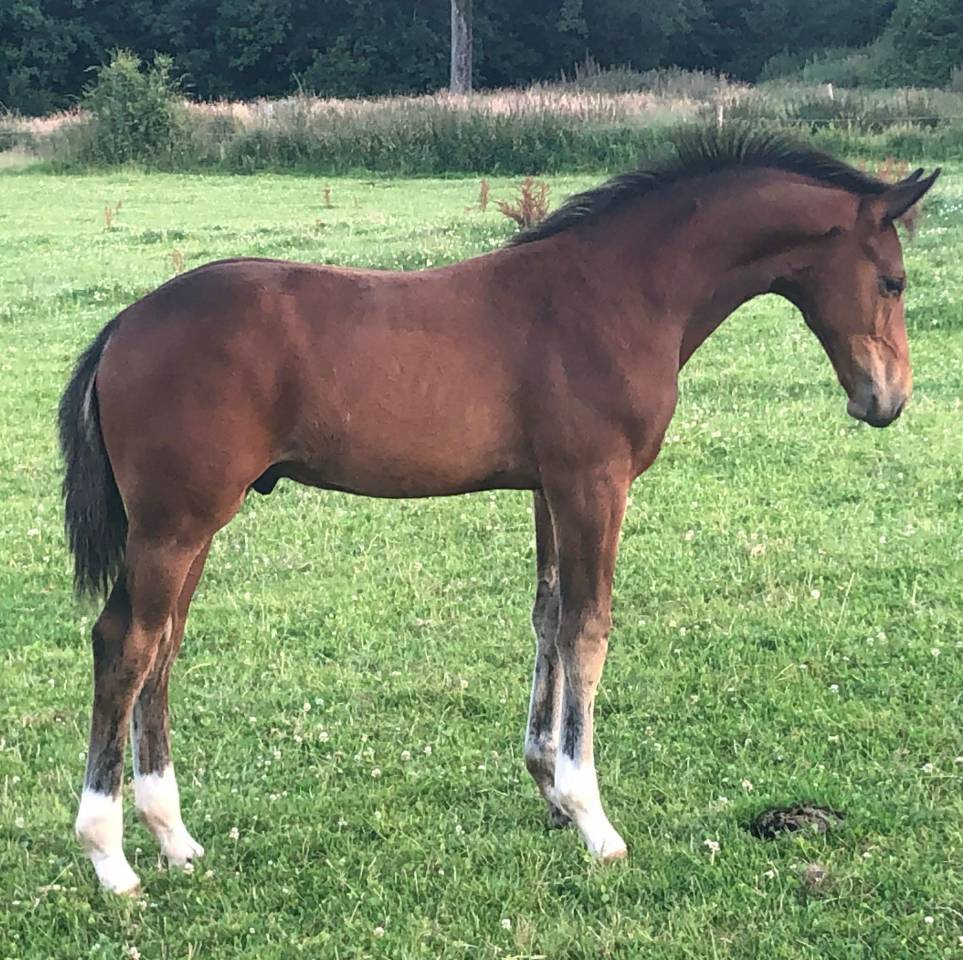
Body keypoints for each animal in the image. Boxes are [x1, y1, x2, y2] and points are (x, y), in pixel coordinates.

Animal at [59, 127, 938, 893]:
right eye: (892, 281)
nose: (886, 400)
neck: (619, 294)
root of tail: (124, 326)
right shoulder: (594, 482)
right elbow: (588, 627)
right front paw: (593, 820)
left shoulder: (550, 488)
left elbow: (547, 619)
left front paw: (548, 786)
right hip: (176, 524)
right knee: (125, 645)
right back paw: (110, 857)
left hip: (190, 526)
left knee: (162, 648)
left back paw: (174, 838)